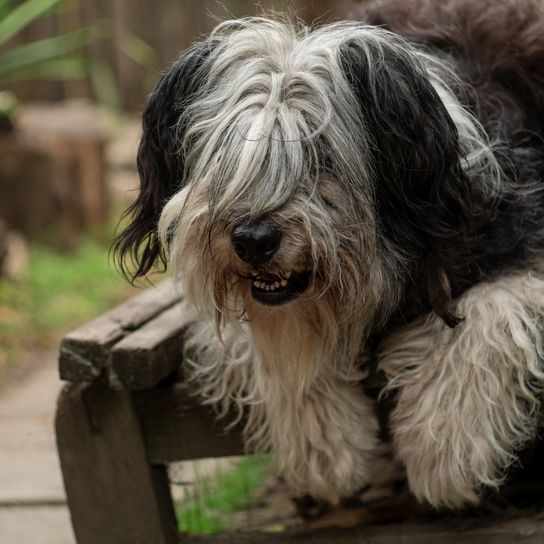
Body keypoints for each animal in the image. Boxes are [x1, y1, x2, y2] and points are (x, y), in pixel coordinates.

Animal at [116, 0, 544, 510]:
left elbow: (486, 313)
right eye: (226, 153)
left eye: (320, 155)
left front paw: (443, 451)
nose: (253, 240)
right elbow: (270, 346)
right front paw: (325, 450)